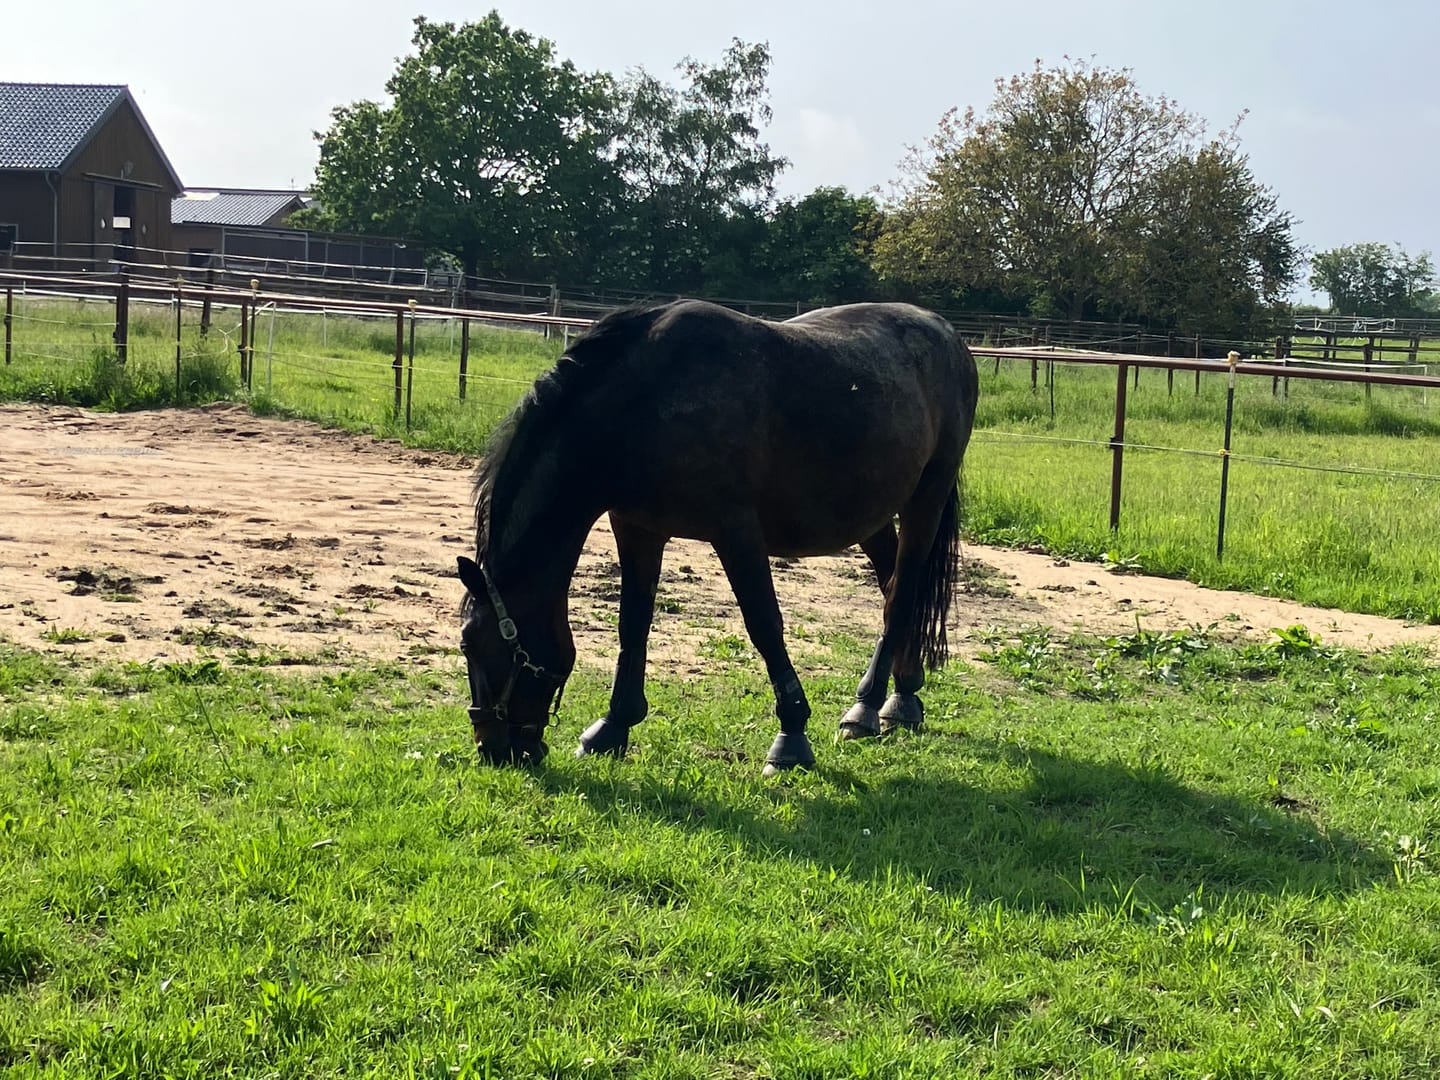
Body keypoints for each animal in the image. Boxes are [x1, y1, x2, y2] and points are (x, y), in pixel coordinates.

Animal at [457, 298, 979, 775]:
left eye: (473, 645)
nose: (493, 748)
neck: (646, 401)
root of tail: (948, 335)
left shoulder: (736, 531)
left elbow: (764, 624)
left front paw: (791, 738)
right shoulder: (638, 527)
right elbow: (633, 624)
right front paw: (613, 726)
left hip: (926, 499)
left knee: (902, 594)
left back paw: (867, 707)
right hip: (870, 516)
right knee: (893, 586)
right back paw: (903, 694)